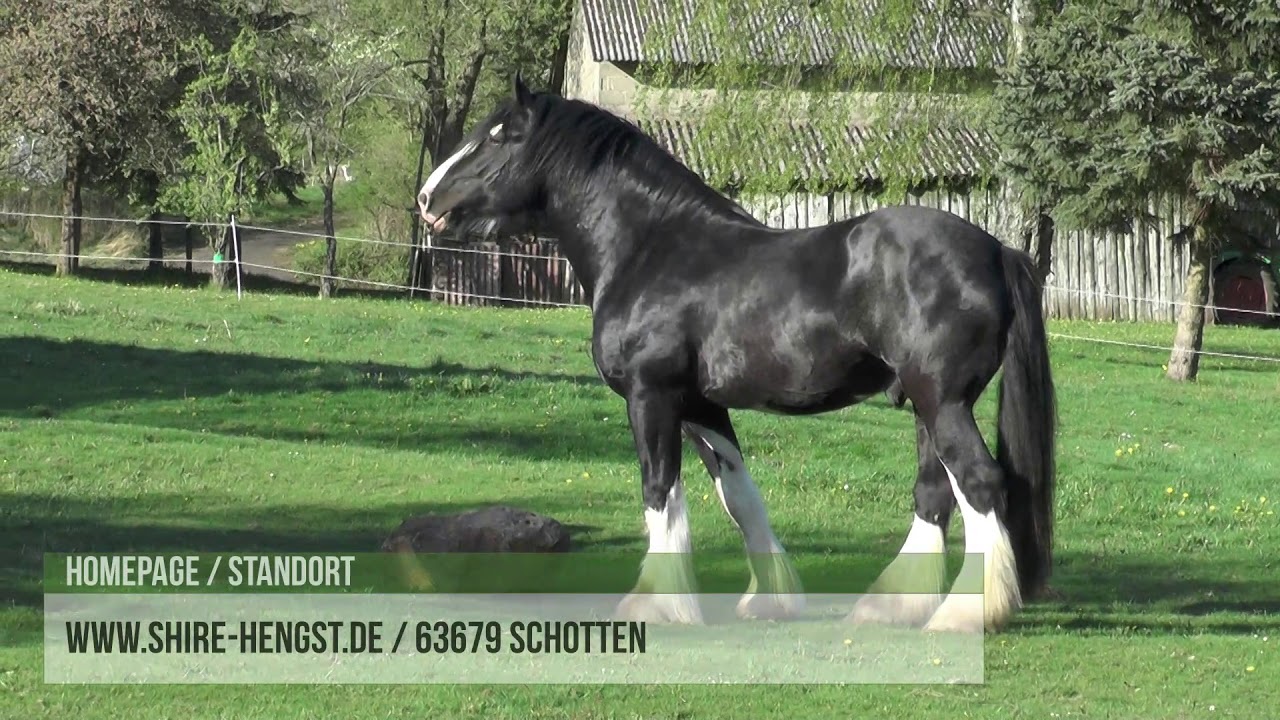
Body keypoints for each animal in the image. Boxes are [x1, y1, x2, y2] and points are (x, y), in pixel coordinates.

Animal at [416, 74, 1057, 634]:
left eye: (500, 135)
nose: (426, 197)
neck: (652, 248)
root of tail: (996, 250)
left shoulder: (651, 397)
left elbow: (660, 492)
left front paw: (655, 604)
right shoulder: (702, 407)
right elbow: (740, 497)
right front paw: (769, 599)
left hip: (942, 401)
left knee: (979, 484)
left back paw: (965, 615)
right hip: (925, 405)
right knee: (934, 495)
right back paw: (893, 604)